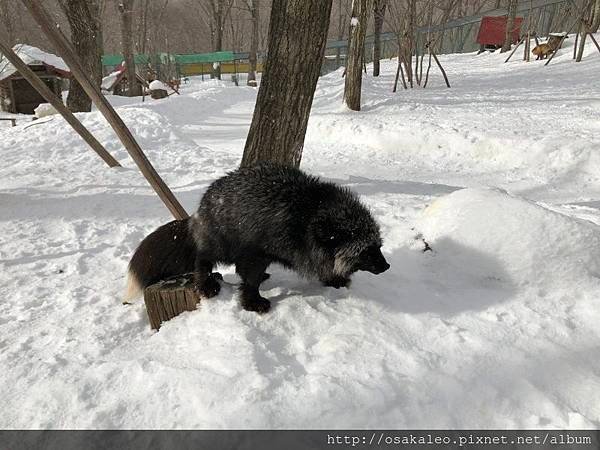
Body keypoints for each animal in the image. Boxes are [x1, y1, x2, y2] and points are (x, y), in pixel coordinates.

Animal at [125, 163, 390, 314]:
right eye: (366, 251)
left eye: (378, 245)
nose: (386, 266)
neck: (306, 217)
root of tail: (198, 212)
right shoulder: (256, 253)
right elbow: (249, 281)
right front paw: (253, 303)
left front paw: (334, 279)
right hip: (220, 244)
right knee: (202, 260)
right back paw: (206, 283)